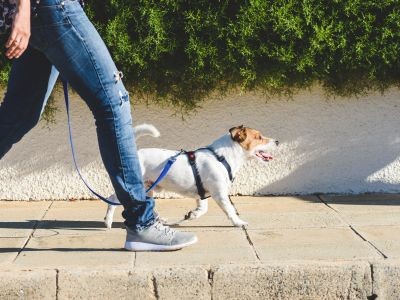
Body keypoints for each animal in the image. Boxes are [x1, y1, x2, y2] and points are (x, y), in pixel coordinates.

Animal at [103, 123, 278, 227]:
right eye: (259, 137)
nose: (277, 141)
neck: (222, 157)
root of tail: (135, 154)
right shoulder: (220, 194)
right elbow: (230, 210)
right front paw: (238, 222)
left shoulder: (202, 194)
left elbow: (203, 209)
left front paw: (192, 215)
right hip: (134, 187)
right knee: (112, 199)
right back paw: (108, 221)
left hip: (149, 188)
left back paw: (159, 220)